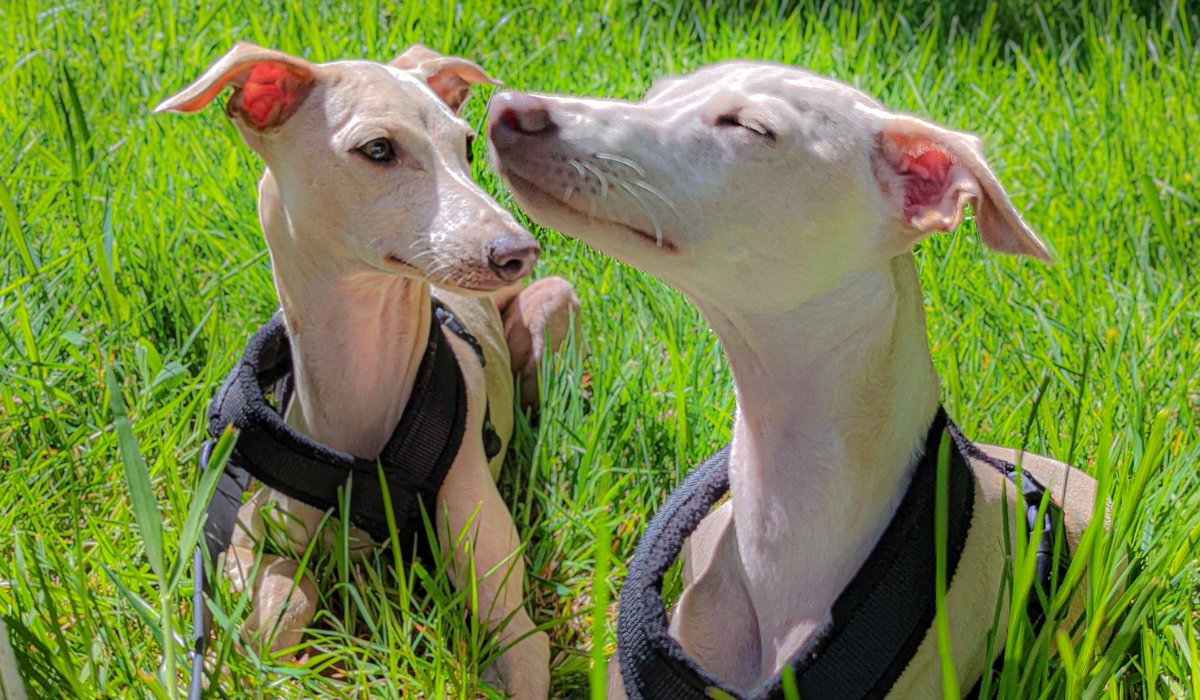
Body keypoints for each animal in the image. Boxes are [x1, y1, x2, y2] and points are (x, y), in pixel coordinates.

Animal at [157, 43, 578, 700]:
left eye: (465, 144)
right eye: (377, 149)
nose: (519, 250)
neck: (364, 381)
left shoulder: (516, 624)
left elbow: (517, 643)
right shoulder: (240, 541)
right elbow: (282, 601)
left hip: (551, 306)